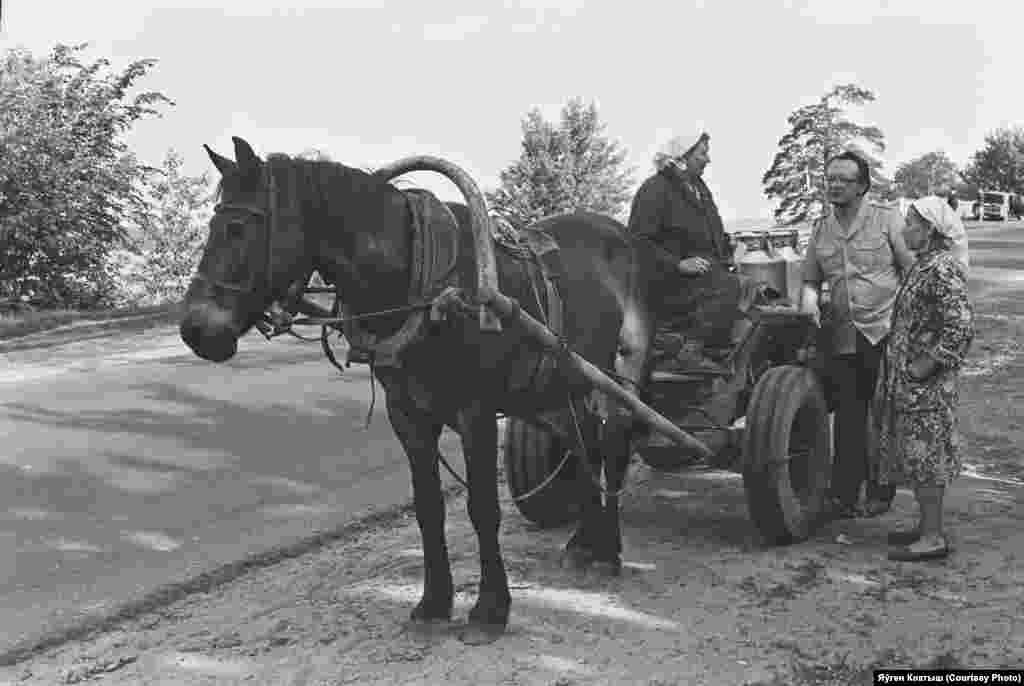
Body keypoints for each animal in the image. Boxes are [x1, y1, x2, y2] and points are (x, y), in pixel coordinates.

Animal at [180, 136, 655, 647]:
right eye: (213, 224)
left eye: (238, 228)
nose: (194, 329)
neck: (421, 278)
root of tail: (622, 235)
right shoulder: (406, 412)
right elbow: (428, 509)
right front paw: (434, 602)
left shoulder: (475, 410)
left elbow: (482, 507)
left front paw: (490, 608)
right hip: (562, 380)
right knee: (584, 441)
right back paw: (585, 540)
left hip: (619, 372)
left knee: (613, 444)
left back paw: (608, 549)